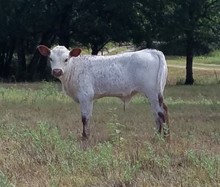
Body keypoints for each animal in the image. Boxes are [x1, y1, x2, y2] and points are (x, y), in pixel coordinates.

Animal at [37, 45, 168, 139]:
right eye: (50, 58)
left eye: (66, 59)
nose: (57, 71)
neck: (74, 68)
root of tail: (151, 51)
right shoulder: (89, 99)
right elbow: (88, 117)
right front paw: (88, 135)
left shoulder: (85, 97)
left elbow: (84, 118)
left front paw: (84, 137)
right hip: (157, 94)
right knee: (159, 112)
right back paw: (159, 135)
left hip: (153, 93)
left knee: (161, 112)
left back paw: (163, 137)